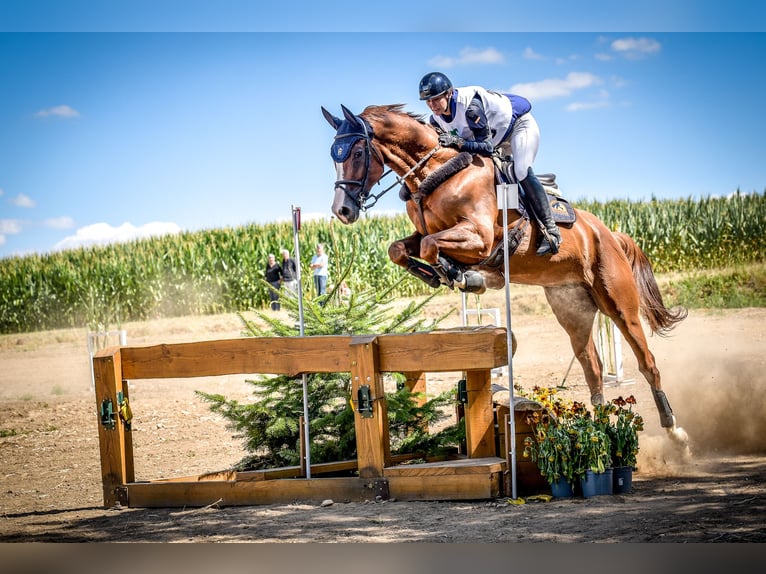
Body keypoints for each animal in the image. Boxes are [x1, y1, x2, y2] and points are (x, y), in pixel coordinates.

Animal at [322, 103, 688, 438]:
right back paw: (597, 431)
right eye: (333, 156)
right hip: (573, 309)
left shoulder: (480, 239)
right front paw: (440, 274)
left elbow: (430, 246)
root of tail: (609, 233)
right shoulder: (426, 233)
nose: (342, 211)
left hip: (618, 302)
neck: (438, 174)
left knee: (648, 362)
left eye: (358, 151)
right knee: (593, 368)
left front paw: (463, 275)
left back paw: (674, 431)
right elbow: (399, 248)